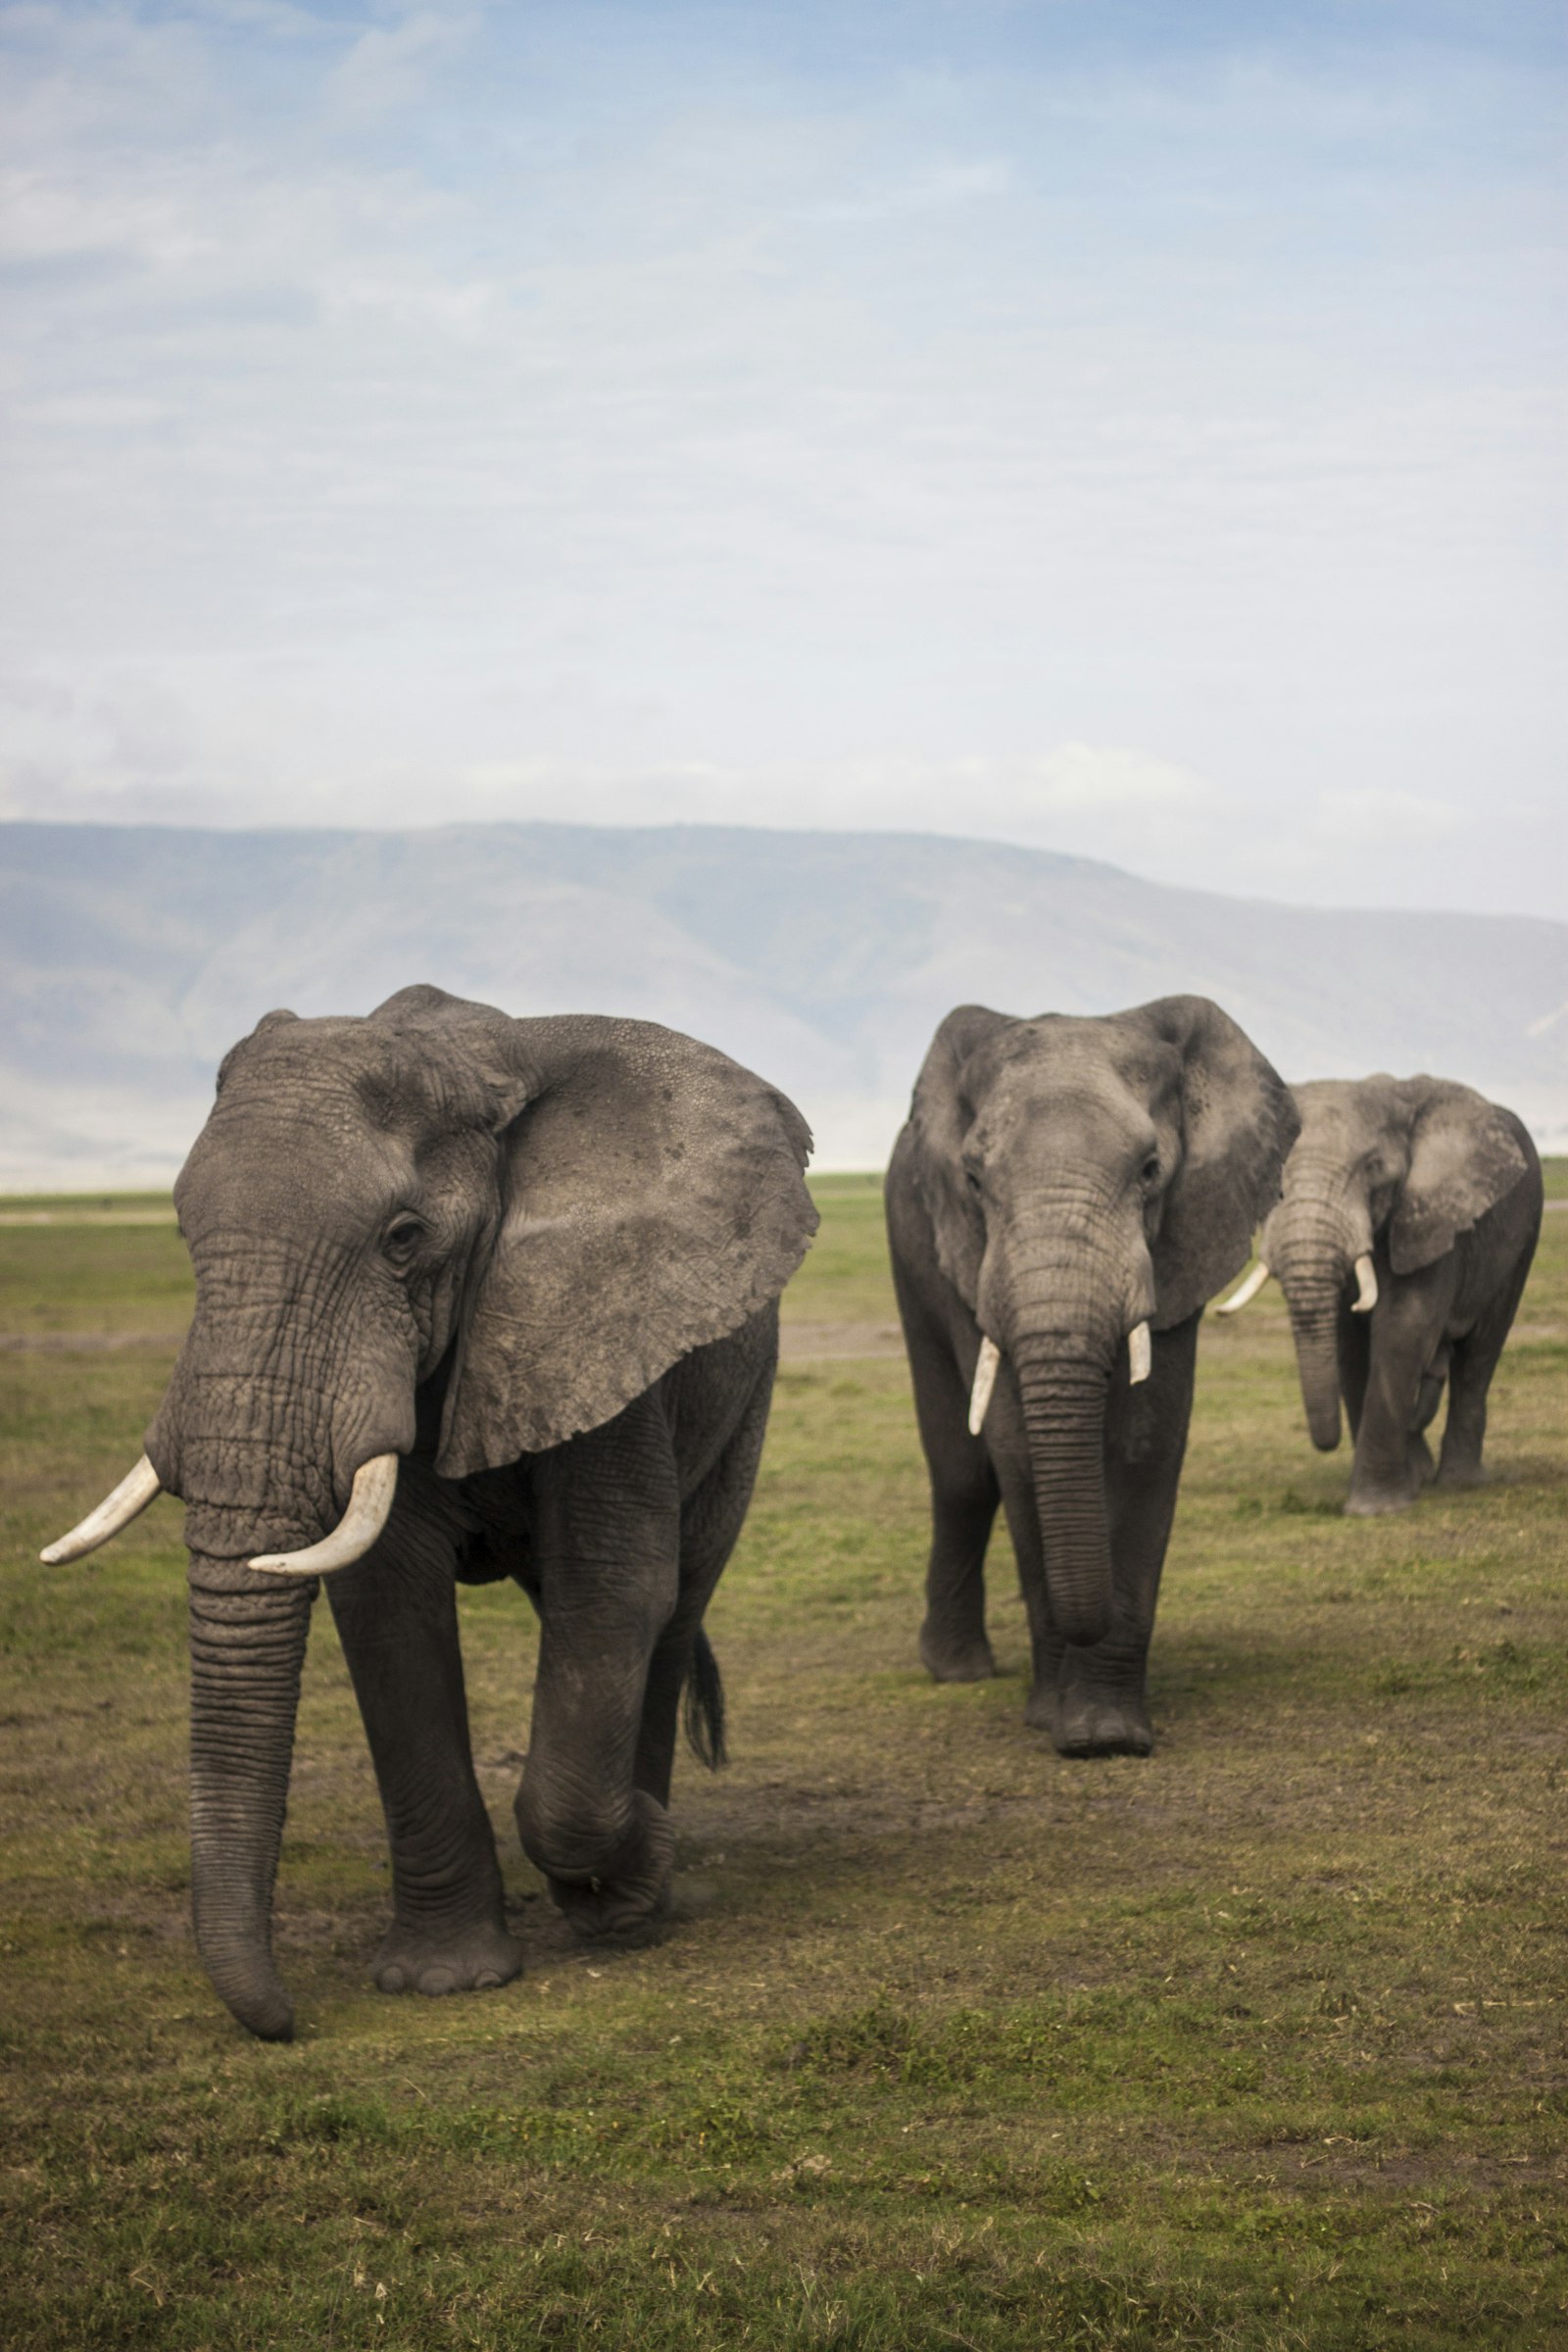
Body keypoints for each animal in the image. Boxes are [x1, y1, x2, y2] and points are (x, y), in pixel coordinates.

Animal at [41, 984, 817, 2042]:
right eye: (181, 1232)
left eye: (403, 1239)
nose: (286, 2022)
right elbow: (386, 1606)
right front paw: (442, 1981)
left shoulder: (601, 1318)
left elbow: (614, 1586)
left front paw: (631, 1876)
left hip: (745, 1397)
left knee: (674, 1601)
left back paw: (637, 1895)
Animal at [885, 994, 1297, 1758]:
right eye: (973, 1181)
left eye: (1150, 1169)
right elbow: (1016, 1448)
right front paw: (1056, 1722)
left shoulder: (1183, 1239)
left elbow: (1145, 1443)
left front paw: (1105, 1735)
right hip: (910, 1245)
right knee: (962, 1473)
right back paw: (957, 1670)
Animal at [1216, 1074, 1542, 1514]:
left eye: (1373, 1170)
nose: (1327, 1442)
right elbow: (1350, 1346)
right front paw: (1402, 1487)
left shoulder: (1431, 1218)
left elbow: (1404, 1327)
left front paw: (1374, 1509)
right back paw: (1422, 1472)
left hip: (1523, 1238)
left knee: (1480, 1353)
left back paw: (1460, 1482)